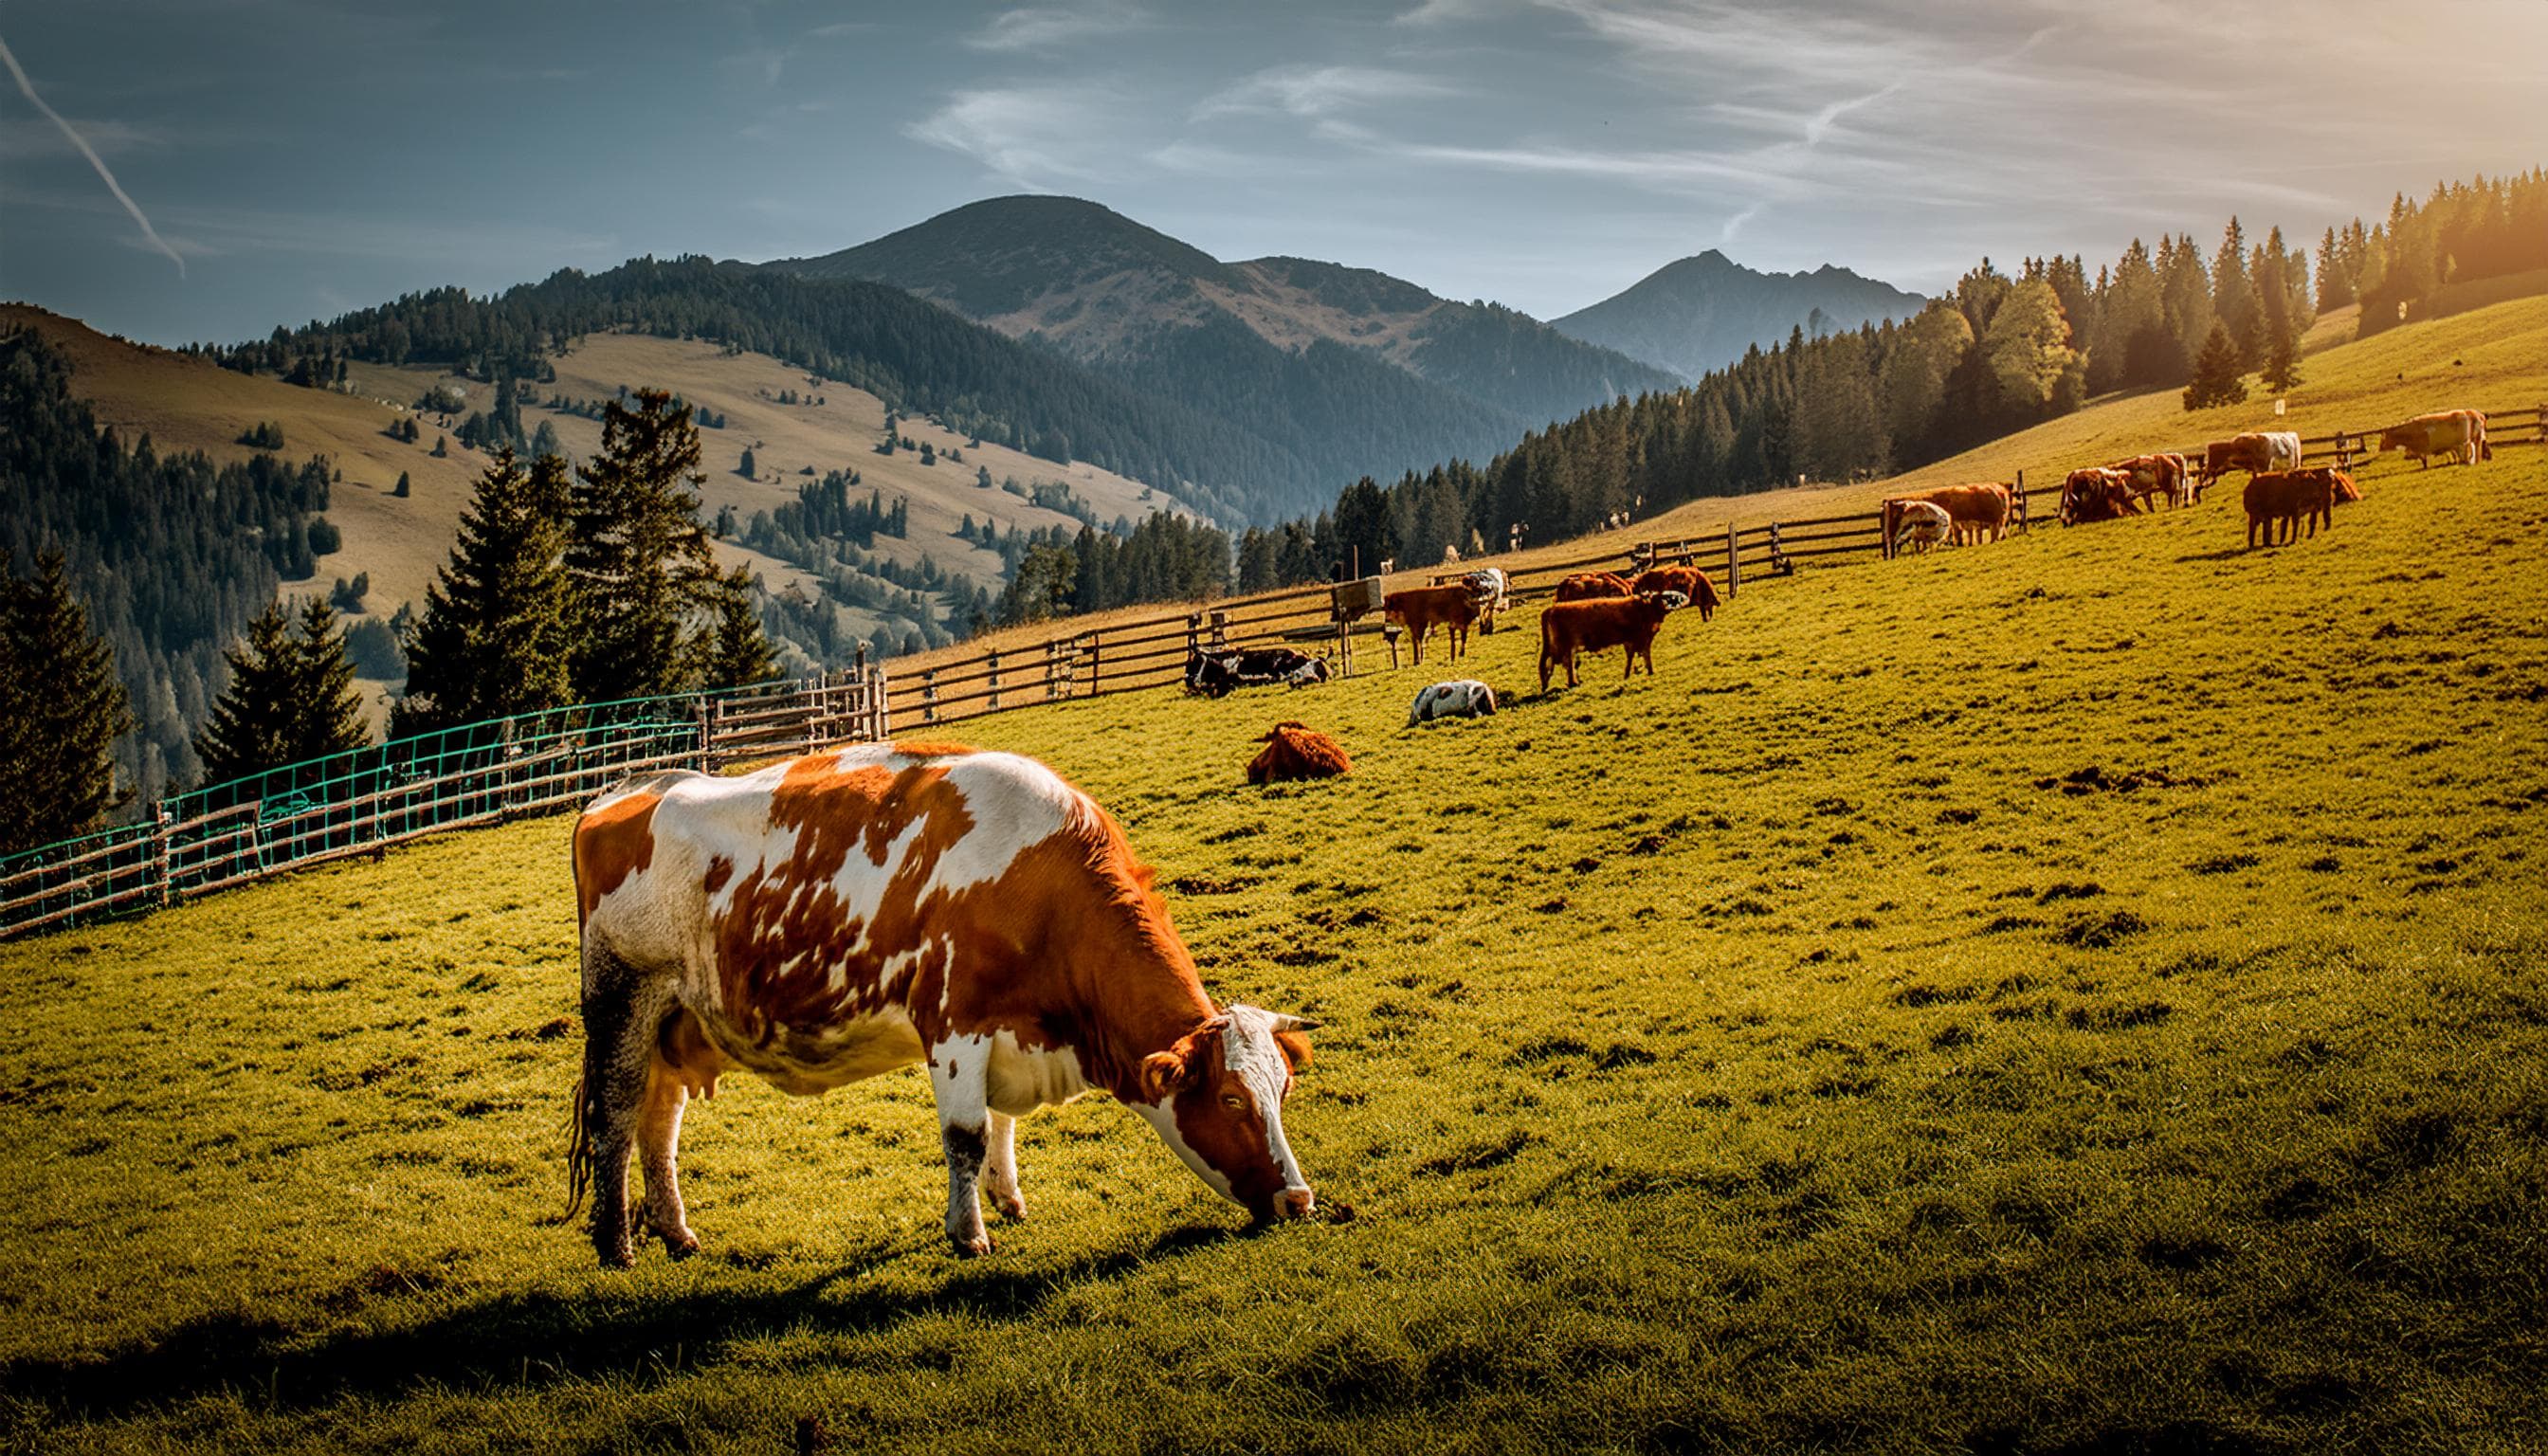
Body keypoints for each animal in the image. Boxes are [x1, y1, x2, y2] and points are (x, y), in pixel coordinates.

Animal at [571, 744, 1324, 1269]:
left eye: (1283, 1090)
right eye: (1230, 1099)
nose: (1298, 1199)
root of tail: (631, 788)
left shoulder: (1013, 1031)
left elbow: (1003, 1125)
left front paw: (1009, 1200)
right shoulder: (954, 1024)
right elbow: (966, 1135)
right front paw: (969, 1233)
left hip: (677, 1021)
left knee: (659, 1125)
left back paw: (677, 1232)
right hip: (621, 1001)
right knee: (616, 1118)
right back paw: (617, 1246)